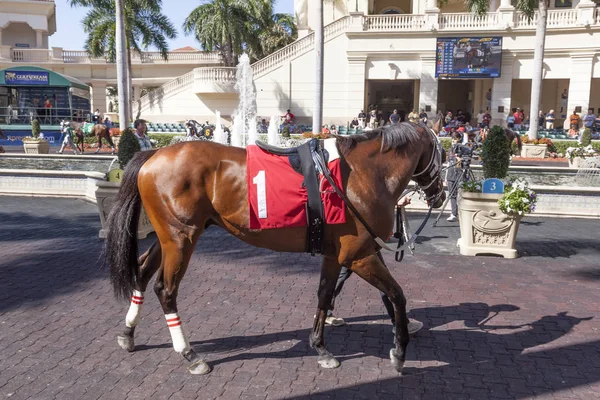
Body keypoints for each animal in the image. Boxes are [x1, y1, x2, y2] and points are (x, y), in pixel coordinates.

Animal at [103, 122, 442, 376]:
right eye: (442, 153)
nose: (438, 195)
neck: (362, 175)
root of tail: (154, 154)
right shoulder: (359, 255)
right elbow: (396, 294)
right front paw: (399, 351)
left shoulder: (337, 254)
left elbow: (325, 294)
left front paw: (321, 347)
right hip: (181, 237)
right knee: (166, 289)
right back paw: (190, 354)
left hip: (169, 237)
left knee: (142, 272)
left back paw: (128, 333)